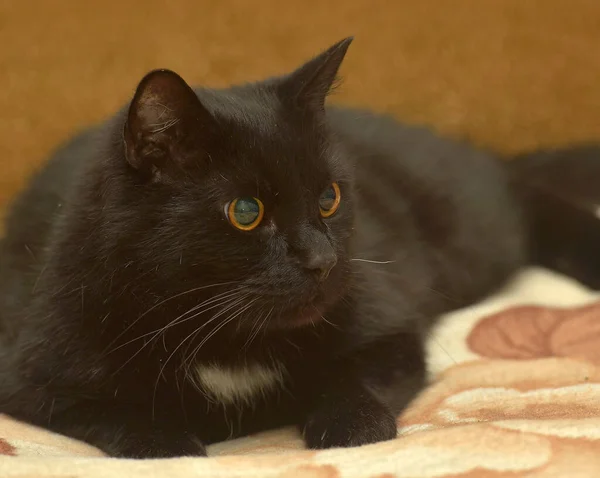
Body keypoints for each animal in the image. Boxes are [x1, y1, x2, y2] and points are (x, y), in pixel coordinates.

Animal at [1, 36, 600, 456]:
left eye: (329, 197)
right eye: (246, 212)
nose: (323, 260)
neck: (228, 343)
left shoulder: (388, 323)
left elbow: (355, 375)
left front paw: (353, 425)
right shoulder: (30, 374)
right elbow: (107, 410)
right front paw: (163, 440)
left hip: (471, 220)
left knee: (524, 193)